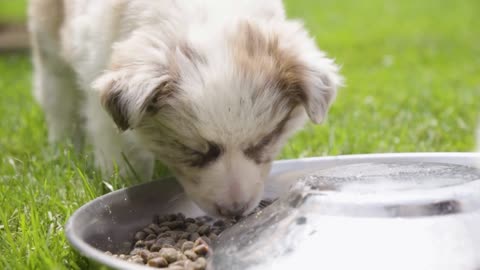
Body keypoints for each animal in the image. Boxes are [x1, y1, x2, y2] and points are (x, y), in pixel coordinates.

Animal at [29, 0, 342, 216]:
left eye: (265, 141)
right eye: (191, 151)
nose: (235, 212)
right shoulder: (100, 81)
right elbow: (121, 150)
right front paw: (123, 183)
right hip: (49, 44)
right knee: (57, 98)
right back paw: (62, 147)